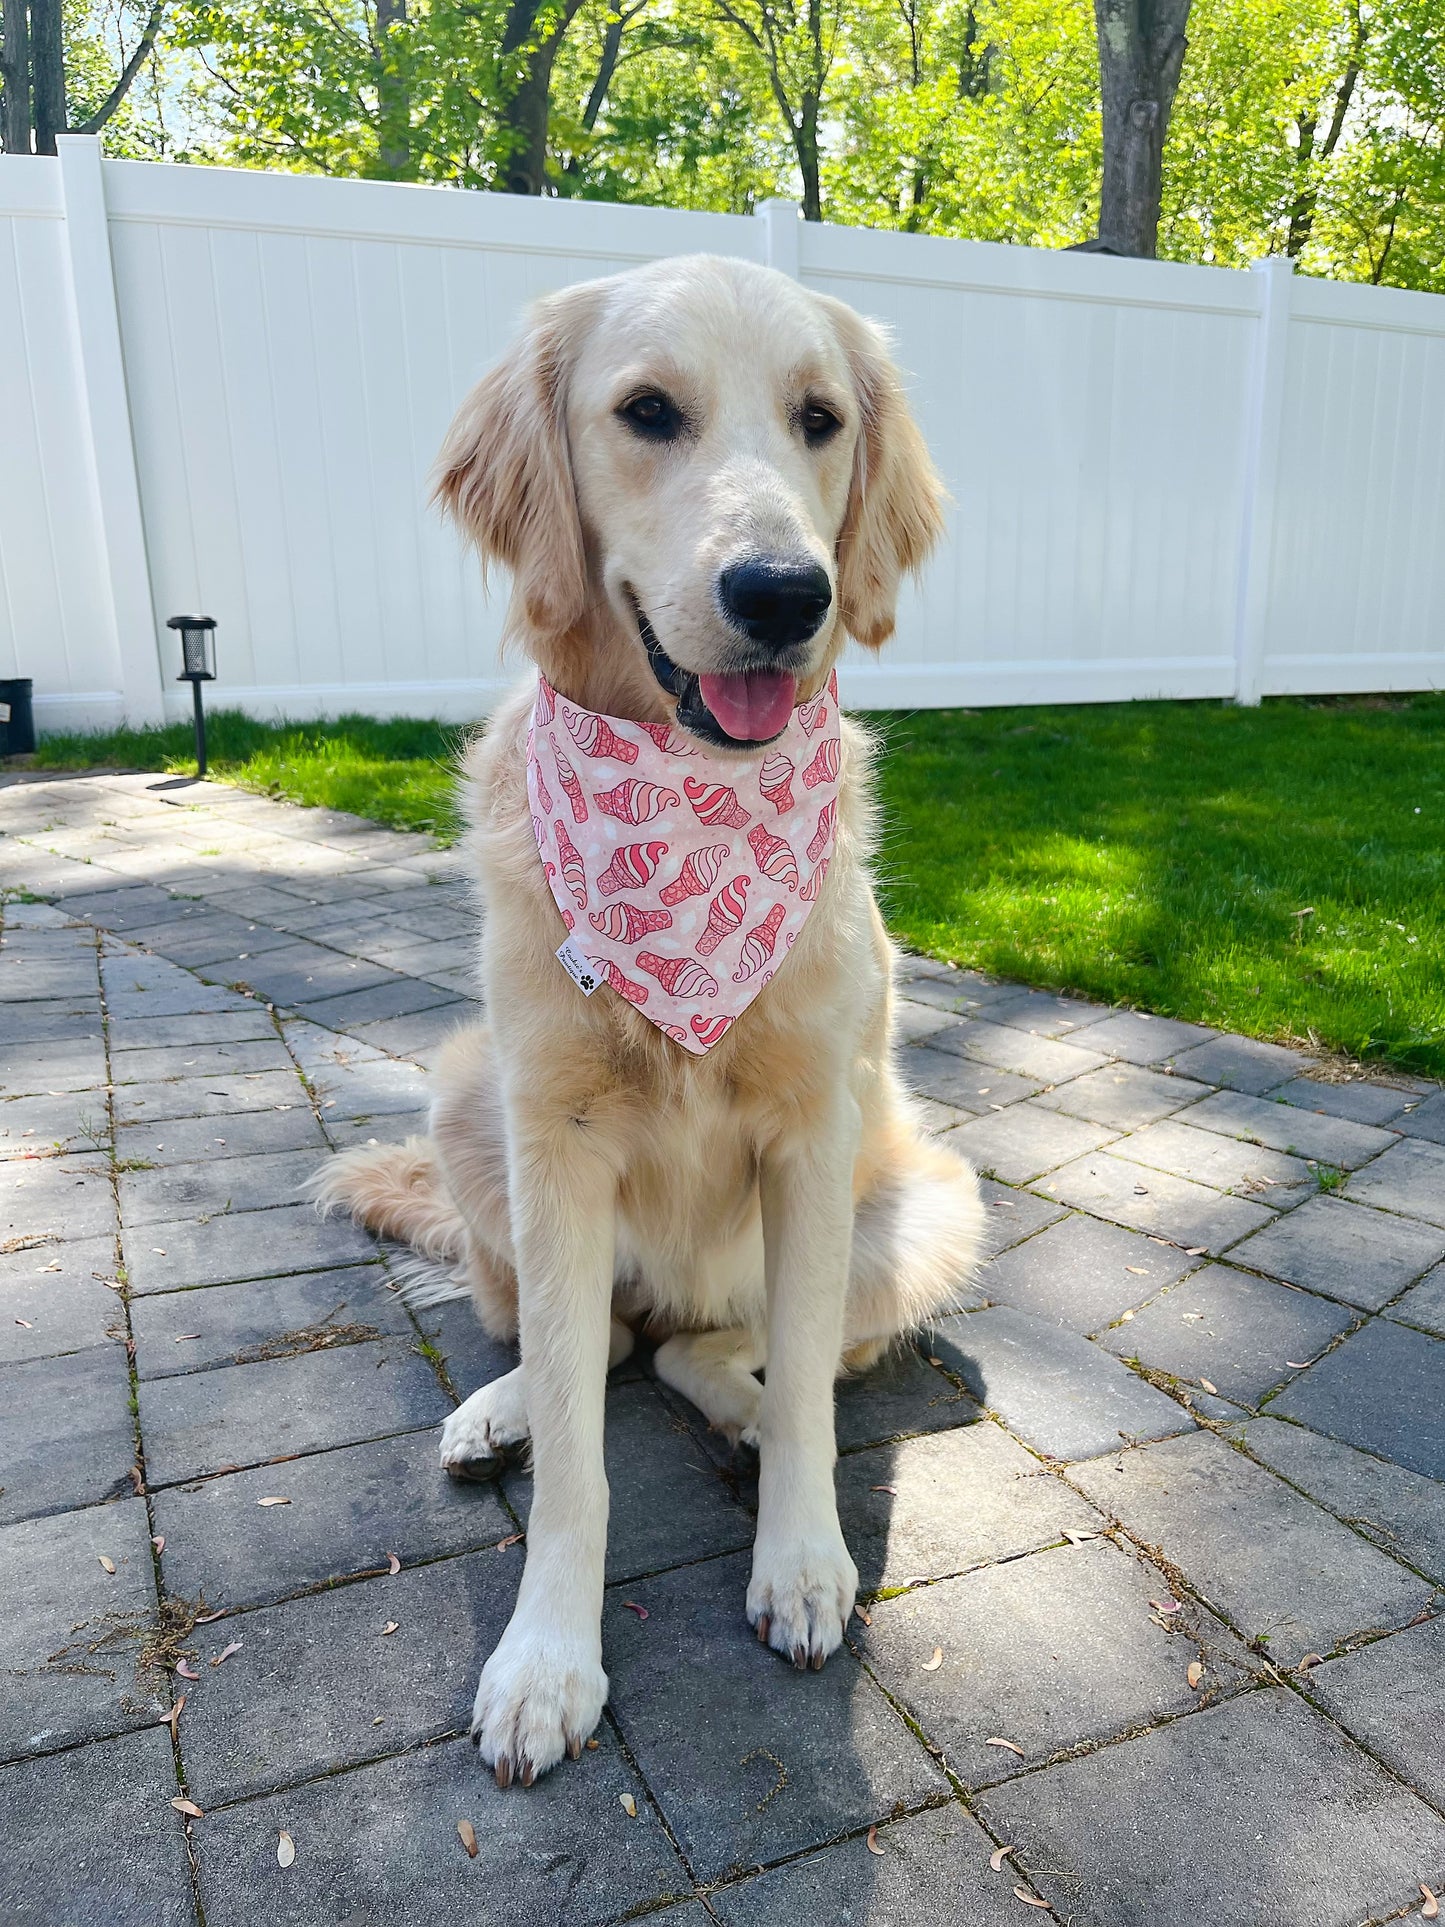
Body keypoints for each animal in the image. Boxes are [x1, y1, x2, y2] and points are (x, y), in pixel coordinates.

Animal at [319, 252, 986, 1788]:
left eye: (819, 418)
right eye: (646, 412)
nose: (786, 591)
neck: (688, 808)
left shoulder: (813, 1133)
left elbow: (804, 1394)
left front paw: (799, 1561)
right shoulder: (552, 1135)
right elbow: (578, 1435)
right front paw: (547, 1658)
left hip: (930, 1197)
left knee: (718, 1346)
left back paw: (737, 1409)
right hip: (468, 1095)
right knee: (602, 1341)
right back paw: (497, 1408)